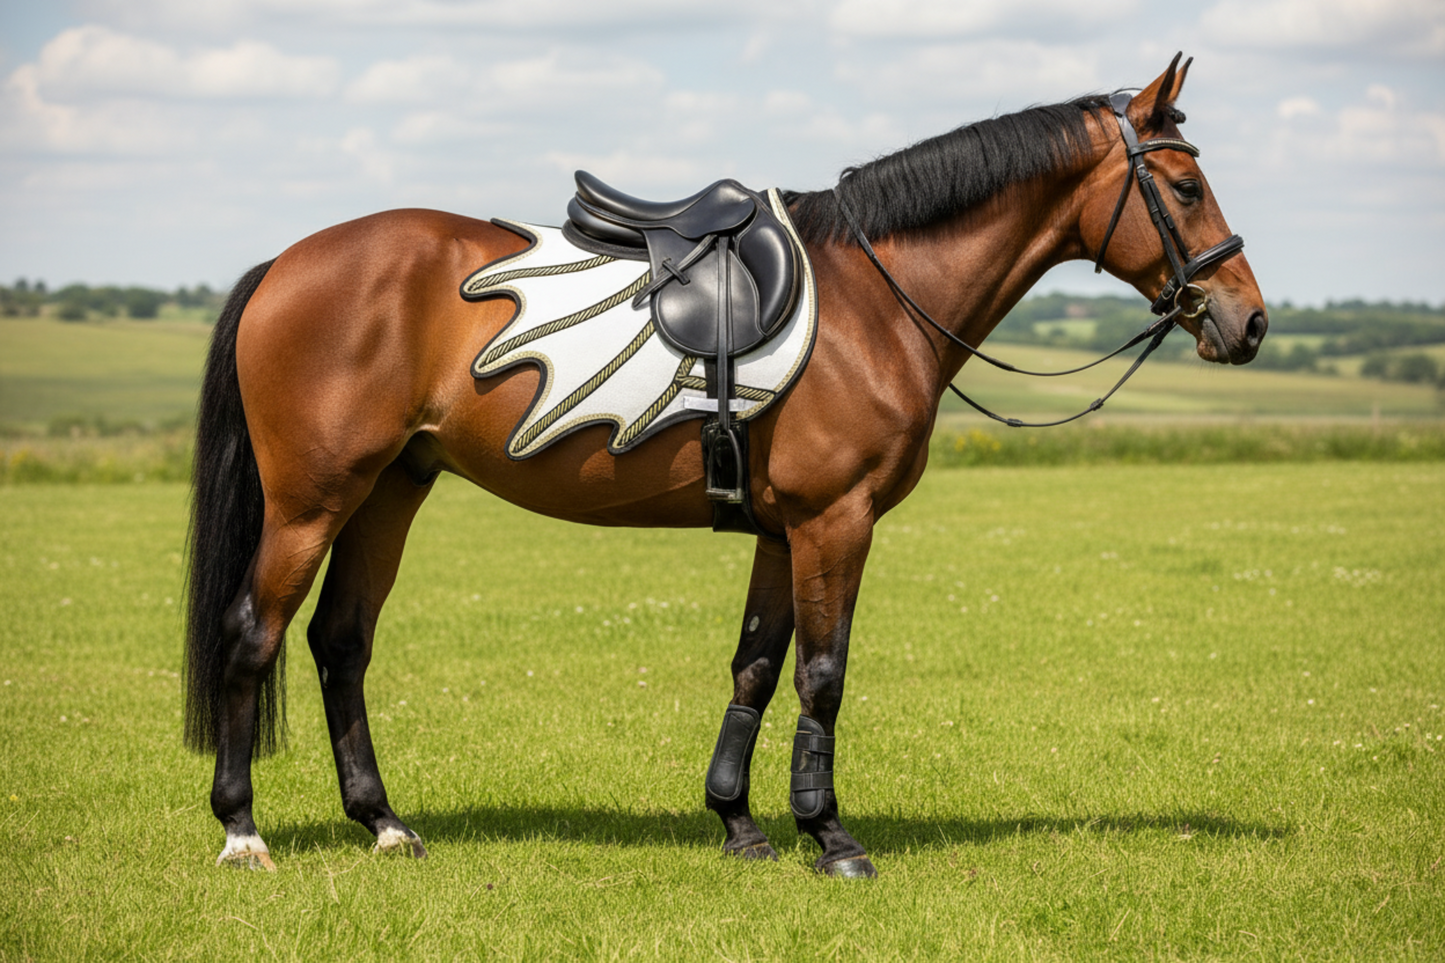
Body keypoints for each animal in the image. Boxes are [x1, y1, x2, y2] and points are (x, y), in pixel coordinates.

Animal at [184, 54, 1266, 878]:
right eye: (1182, 188)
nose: (1246, 320)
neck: (876, 300)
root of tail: (286, 263)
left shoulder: (783, 532)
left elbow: (755, 663)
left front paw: (739, 822)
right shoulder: (836, 520)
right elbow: (822, 675)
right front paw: (830, 836)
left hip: (390, 490)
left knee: (339, 643)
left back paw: (384, 822)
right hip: (312, 500)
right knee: (252, 635)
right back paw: (242, 831)